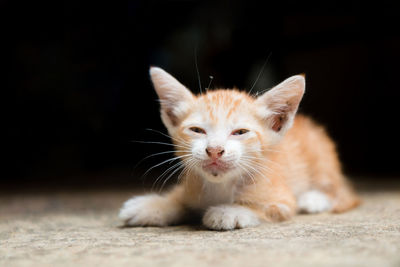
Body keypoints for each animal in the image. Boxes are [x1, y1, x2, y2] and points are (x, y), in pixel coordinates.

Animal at [119, 66, 360, 230]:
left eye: (240, 132)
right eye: (197, 130)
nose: (214, 150)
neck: (220, 187)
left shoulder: (281, 200)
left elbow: (263, 208)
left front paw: (230, 211)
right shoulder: (191, 185)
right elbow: (180, 201)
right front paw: (153, 205)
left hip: (322, 160)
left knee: (341, 192)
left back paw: (313, 199)